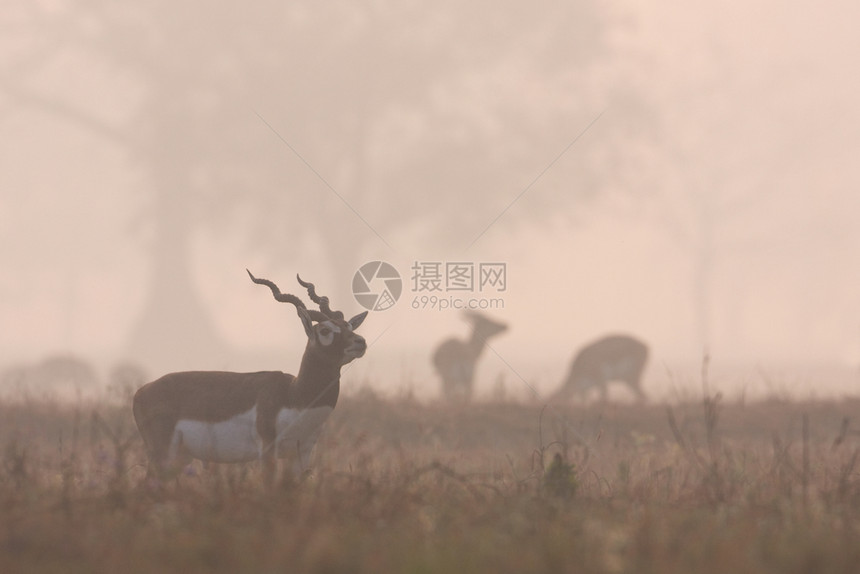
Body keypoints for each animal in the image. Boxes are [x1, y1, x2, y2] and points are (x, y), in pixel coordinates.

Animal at [133, 272, 368, 488]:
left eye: (348, 326)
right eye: (326, 330)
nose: (361, 342)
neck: (294, 395)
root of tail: (140, 392)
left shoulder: (302, 453)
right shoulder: (267, 449)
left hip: (180, 457)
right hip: (162, 453)